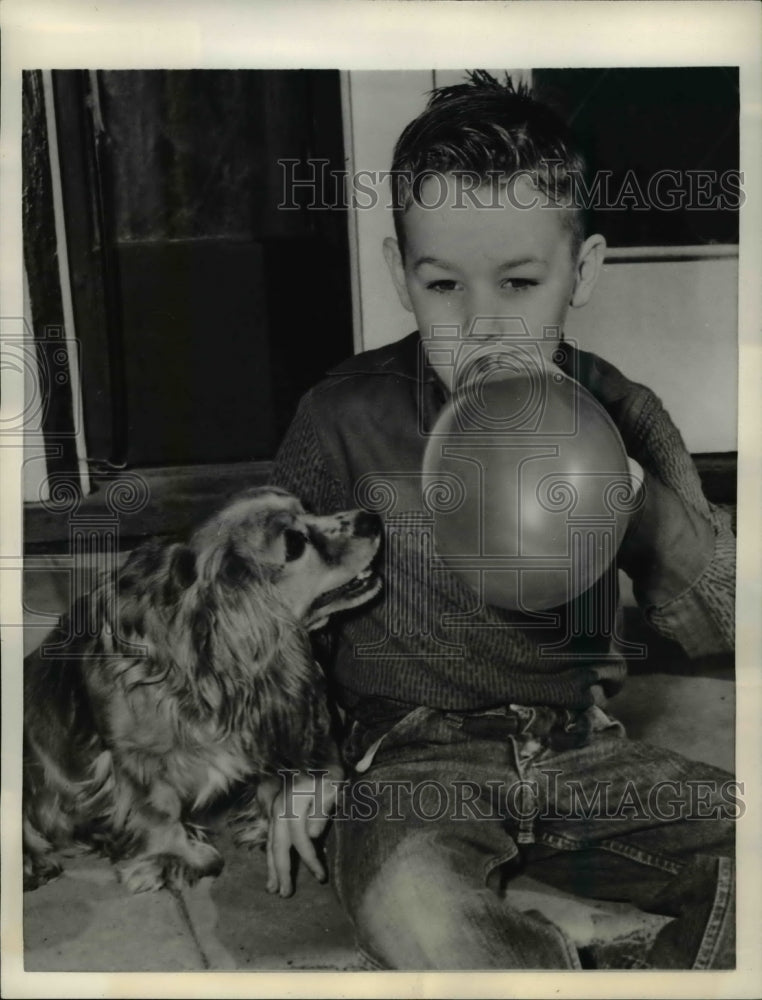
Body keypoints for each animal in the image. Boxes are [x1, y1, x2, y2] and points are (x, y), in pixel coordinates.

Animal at [23, 484, 380, 892]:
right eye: (295, 544)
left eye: (308, 509)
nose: (372, 518)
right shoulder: (137, 758)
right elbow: (159, 811)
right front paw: (179, 859)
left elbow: (270, 782)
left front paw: (269, 823)